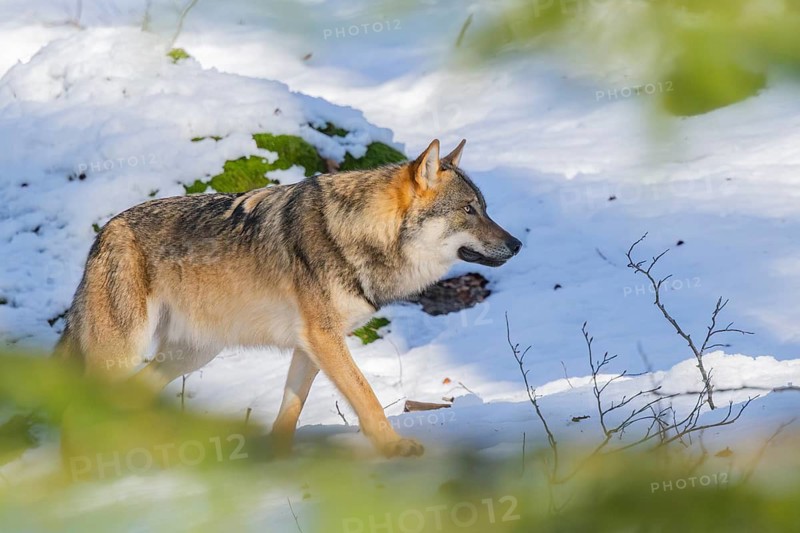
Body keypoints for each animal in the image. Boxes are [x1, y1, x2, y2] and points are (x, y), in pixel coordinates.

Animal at [54, 139, 521, 457]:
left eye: (484, 208)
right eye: (469, 211)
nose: (517, 244)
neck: (356, 233)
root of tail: (103, 233)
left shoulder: (311, 345)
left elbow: (291, 409)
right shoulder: (324, 339)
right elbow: (368, 398)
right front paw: (393, 448)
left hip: (189, 356)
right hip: (126, 352)